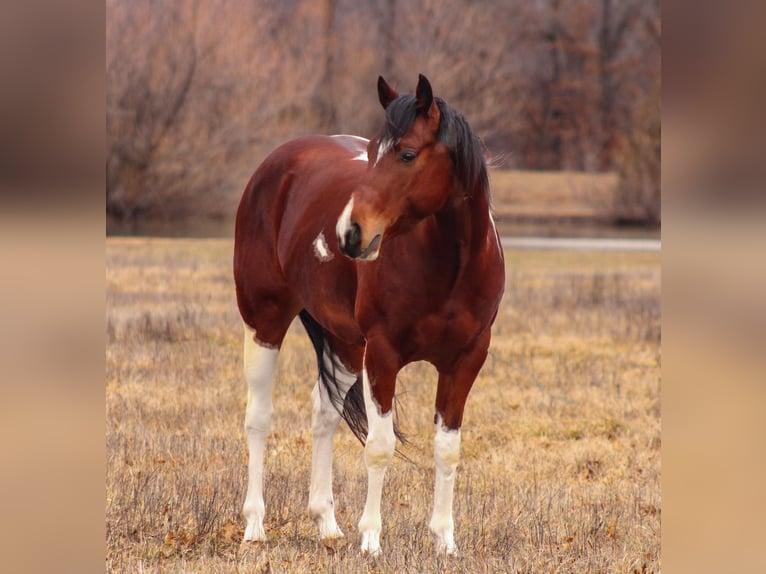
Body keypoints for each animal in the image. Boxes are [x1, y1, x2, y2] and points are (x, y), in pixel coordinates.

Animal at [237, 74, 508, 556]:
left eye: (407, 154)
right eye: (373, 152)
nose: (350, 233)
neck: (450, 267)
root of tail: (275, 165)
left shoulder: (466, 360)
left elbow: (448, 448)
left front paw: (445, 541)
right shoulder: (383, 354)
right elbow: (379, 447)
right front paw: (371, 540)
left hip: (345, 344)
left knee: (323, 414)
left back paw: (326, 523)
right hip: (264, 322)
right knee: (259, 418)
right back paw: (255, 526)